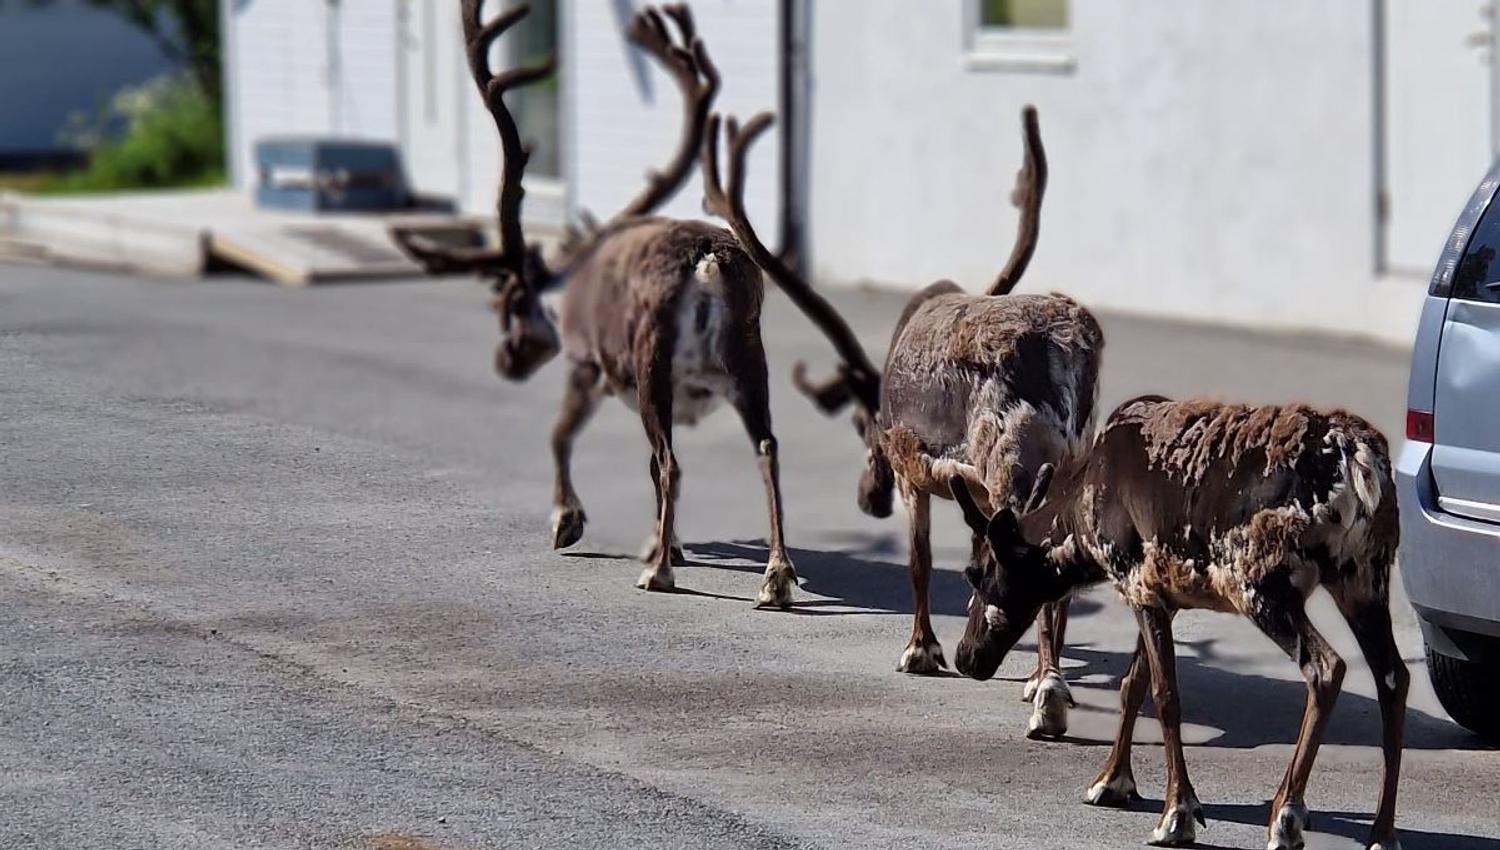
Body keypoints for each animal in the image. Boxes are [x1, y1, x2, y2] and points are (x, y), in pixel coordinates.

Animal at [392, 1, 801, 607]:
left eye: (508, 305)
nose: (505, 363)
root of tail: (708, 261)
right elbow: (644, 466)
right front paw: (664, 541)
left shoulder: (587, 363)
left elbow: (561, 436)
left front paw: (569, 523)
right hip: (750, 360)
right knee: (766, 448)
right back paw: (775, 578)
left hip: (652, 360)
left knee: (673, 462)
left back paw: (658, 575)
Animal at [705, 104, 1101, 739]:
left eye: (865, 426)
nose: (869, 497)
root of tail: (1059, 347)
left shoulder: (914, 468)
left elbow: (919, 561)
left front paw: (920, 651)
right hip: (1069, 457)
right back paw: (1047, 684)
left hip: (994, 454)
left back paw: (1047, 695)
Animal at [947, 395, 1407, 850]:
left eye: (975, 572)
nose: (965, 656)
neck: (1080, 528)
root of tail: (1359, 460)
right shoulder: (1159, 595)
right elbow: (1133, 684)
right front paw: (1111, 781)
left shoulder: (1138, 581)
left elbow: (1165, 695)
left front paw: (1177, 814)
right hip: (1365, 576)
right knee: (1393, 676)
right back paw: (1382, 833)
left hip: (1262, 584)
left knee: (1327, 666)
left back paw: (1285, 817)